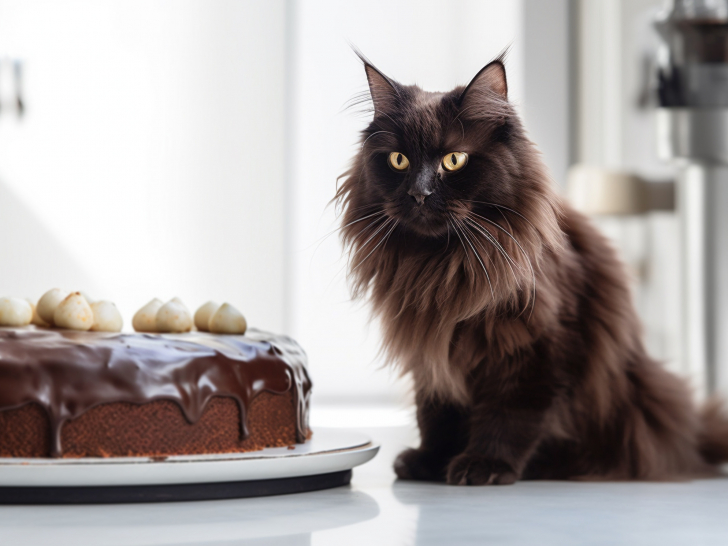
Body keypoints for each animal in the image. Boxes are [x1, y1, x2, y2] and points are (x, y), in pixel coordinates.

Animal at [338, 51, 728, 482]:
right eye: (399, 160)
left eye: (454, 160)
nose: (419, 193)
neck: (440, 269)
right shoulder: (429, 350)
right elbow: (436, 414)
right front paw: (429, 460)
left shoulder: (538, 347)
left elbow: (510, 415)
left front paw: (484, 464)